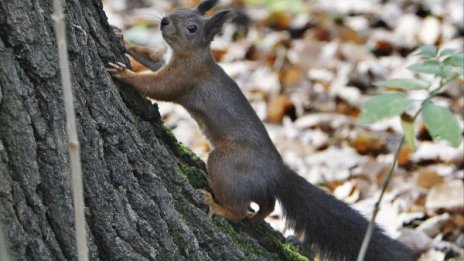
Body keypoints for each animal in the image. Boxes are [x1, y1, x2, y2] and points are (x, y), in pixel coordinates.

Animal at [107, 1, 416, 258]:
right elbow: (150, 57)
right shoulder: (165, 59)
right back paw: (257, 216)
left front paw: (125, 74)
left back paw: (219, 207)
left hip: (226, 164)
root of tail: (276, 173)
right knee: (267, 203)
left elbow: (156, 86)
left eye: (192, 27)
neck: (192, 55)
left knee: (238, 207)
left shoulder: (184, 78)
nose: (164, 22)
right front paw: (121, 37)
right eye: (177, 9)